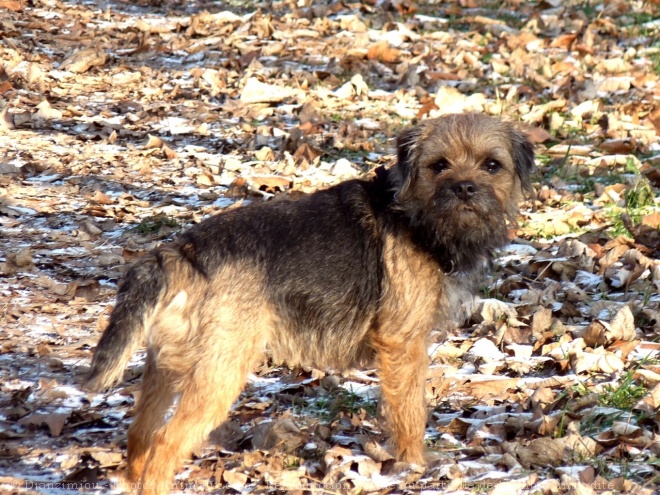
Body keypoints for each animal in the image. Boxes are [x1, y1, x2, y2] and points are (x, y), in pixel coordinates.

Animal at [84, 113, 536, 495]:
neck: (414, 217)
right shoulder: (403, 345)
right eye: (439, 165)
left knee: (140, 433)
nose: (464, 188)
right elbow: (409, 411)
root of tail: (181, 251)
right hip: (219, 372)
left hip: (167, 368)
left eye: (491, 165)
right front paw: (414, 464)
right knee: (164, 442)